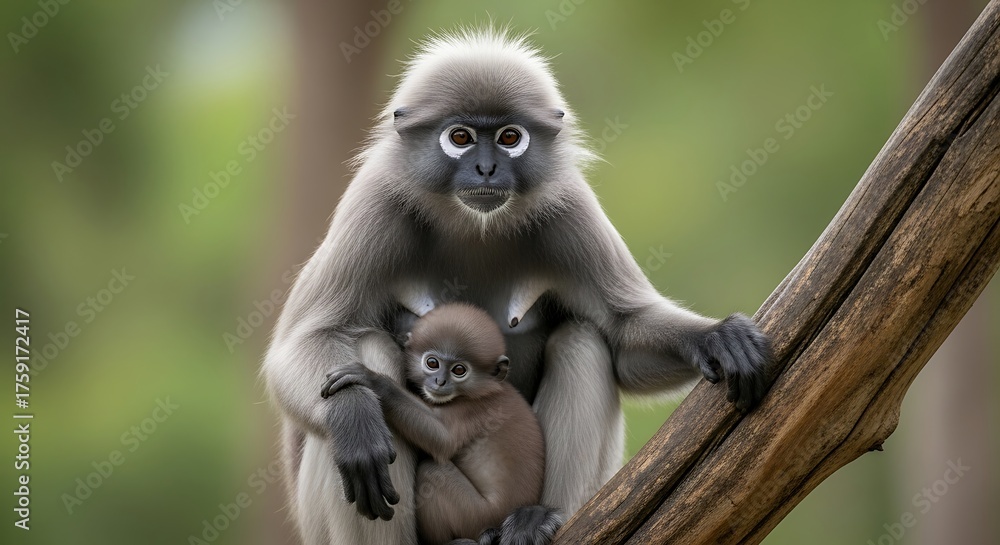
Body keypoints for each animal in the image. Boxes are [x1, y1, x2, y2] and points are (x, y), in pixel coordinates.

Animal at [319, 303, 546, 545]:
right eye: (432, 363)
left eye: (459, 370)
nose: (440, 381)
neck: (485, 390)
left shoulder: (474, 409)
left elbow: (443, 442)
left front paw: (373, 379)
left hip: (477, 515)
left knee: (431, 473)